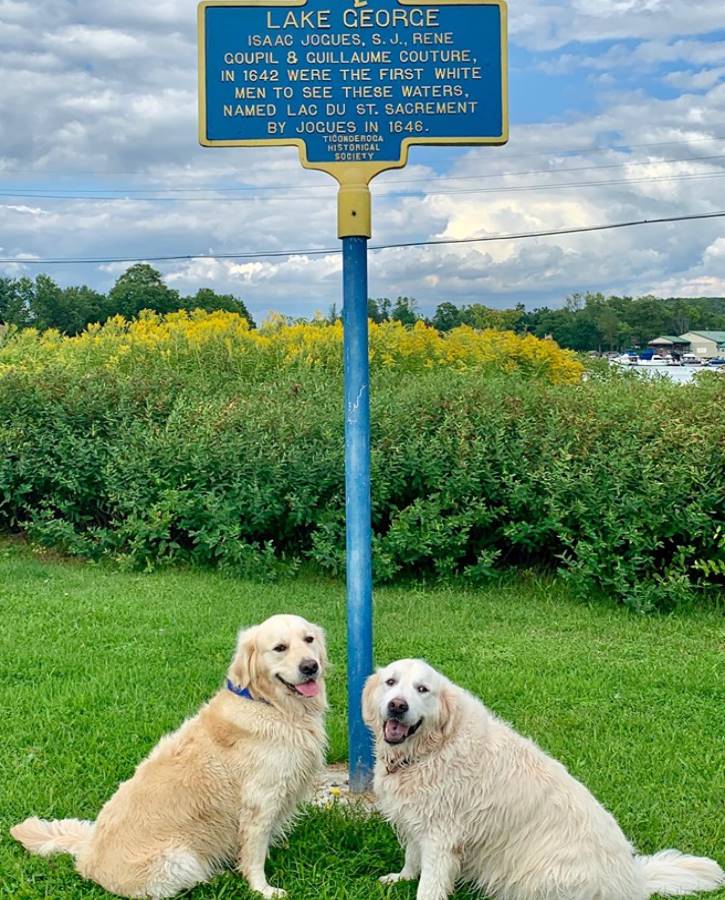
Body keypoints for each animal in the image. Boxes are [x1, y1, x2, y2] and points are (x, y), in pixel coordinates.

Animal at [11, 616, 326, 900]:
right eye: (280, 648)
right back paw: (216, 877)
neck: (271, 706)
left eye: (309, 639)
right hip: (178, 859)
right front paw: (263, 889)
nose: (311, 666)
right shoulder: (260, 803)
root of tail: (86, 854)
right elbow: (254, 854)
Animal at [364, 656, 720, 900]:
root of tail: (635, 880)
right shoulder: (416, 820)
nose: (398, 706)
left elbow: (430, 883)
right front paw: (401, 877)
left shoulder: (441, 836)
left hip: (546, 876)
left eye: (422, 689)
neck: (431, 749)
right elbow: (413, 857)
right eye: (391, 683)